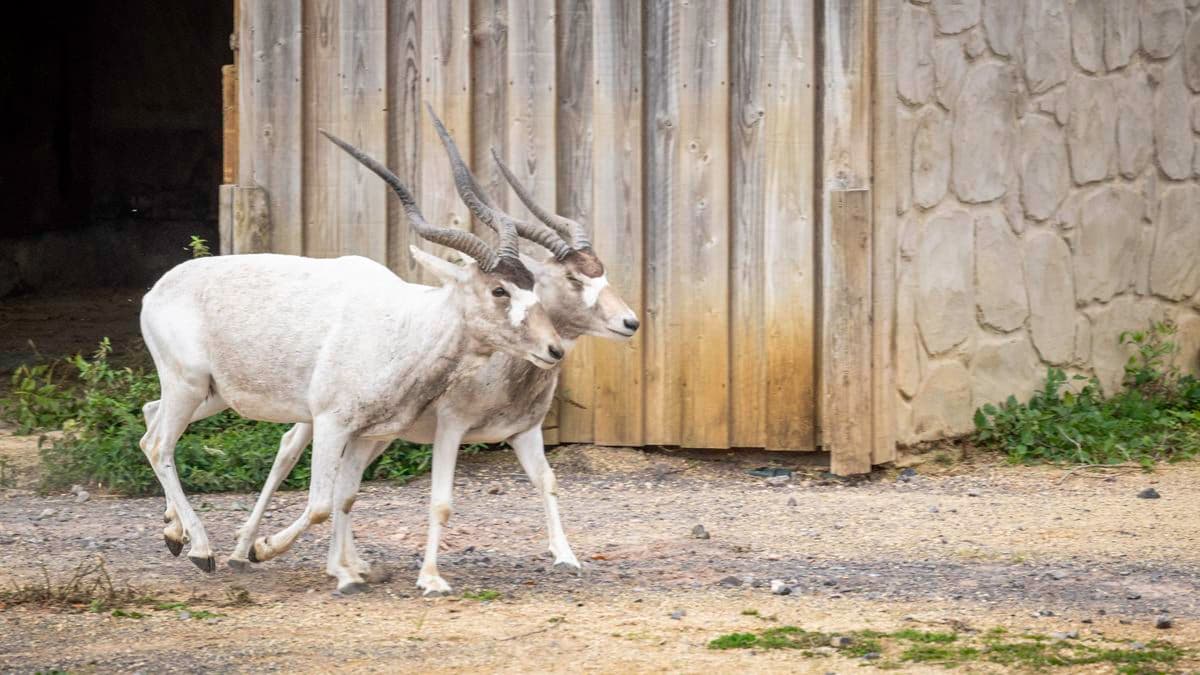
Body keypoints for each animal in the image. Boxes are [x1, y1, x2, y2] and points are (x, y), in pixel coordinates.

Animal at [138, 109, 564, 575]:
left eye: (533, 286)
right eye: (499, 290)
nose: (554, 349)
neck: (405, 326)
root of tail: (156, 290)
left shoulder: (368, 433)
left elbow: (346, 497)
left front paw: (348, 569)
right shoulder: (330, 423)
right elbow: (322, 503)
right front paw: (263, 549)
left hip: (210, 394)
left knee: (150, 420)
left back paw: (173, 532)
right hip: (189, 385)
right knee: (159, 445)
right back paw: (201, 548)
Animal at [228, 106, 639, 594]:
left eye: (602, 273)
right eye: (574, 278)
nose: (630, 322)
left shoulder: (525, 431)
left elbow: (548, 482)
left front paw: (566, 556)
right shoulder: (451, 428)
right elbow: (441, 500)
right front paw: (429, 577)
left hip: (377, 432)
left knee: (345, 482)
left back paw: (349, 565)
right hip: (326, 420)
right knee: (288, 451)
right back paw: (246, 549)